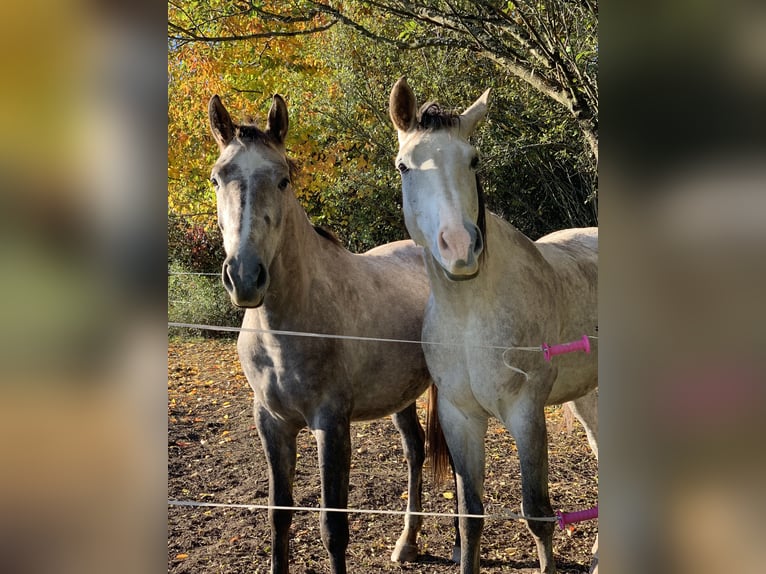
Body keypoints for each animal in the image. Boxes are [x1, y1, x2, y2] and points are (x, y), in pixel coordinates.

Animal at [207, 93, 438, 573]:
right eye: (217, 178)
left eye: (283, 179)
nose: (245, 277)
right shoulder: (272, 424)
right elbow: (279, 516)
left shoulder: (330, 426)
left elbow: (333, 527)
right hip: (401, 395)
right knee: (414, 450)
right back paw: (407, 543)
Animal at [389, 77, 599, 574]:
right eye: (404, 166)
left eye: (474, 159)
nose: (460, 247)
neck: (469, 315)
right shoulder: (460, 418)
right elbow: (471, 518)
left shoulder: (526, 414)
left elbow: (537, 515)